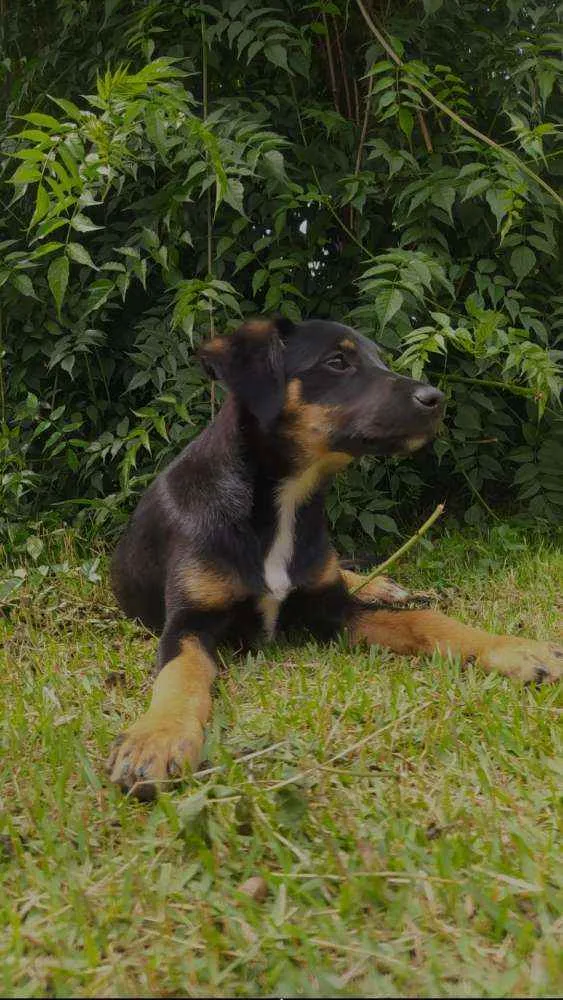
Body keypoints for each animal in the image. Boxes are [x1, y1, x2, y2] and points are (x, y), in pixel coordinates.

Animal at [108, 316, 560, 800]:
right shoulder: (188, 623)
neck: (283, 504)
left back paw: (382, 584)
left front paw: (514, 649)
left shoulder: (333, 610)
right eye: (337, 362)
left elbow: (426, 621)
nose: (436, 400)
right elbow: (180, 676)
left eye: (382, 359)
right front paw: (156, 739)